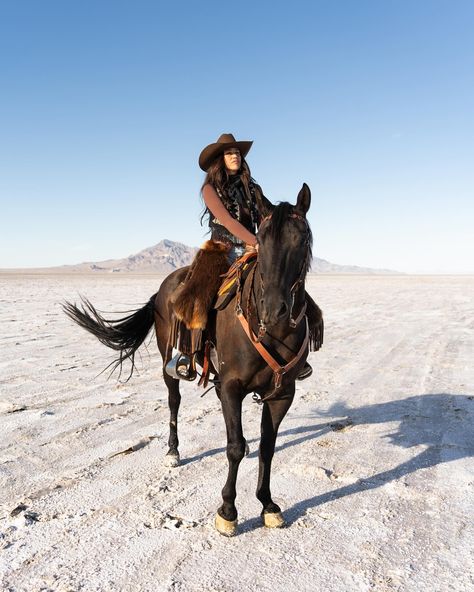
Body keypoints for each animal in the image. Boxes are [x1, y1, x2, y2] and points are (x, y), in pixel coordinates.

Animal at [63, 183, 320, 536]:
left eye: (302, 239)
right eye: (262, 239)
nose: (273, 309)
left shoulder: (283, 393)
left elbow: (268, 447)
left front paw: (268, 505)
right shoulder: (231, 388)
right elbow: (233, 447)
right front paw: (228, 511)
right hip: (167, 359)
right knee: (174, 401)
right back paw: (173, 451)